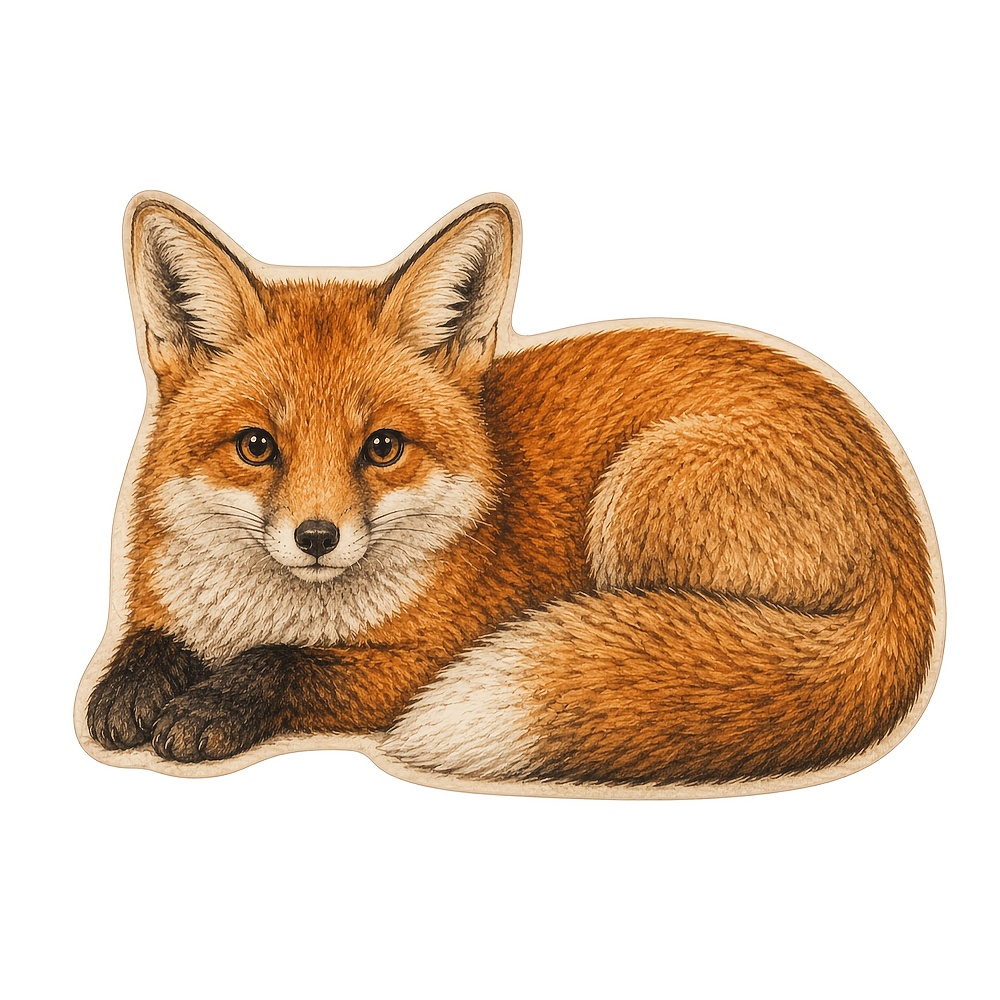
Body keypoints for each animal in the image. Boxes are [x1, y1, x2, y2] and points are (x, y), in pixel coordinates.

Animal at [77, 191, 942, 793]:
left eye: (382, 448)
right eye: (257, 447)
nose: (316, 538)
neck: (265, 609)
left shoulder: (424, 657)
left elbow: (286, 665)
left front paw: (208, 707)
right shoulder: (162, 602)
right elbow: (147, 645)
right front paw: (129, 691)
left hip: (638, 493)